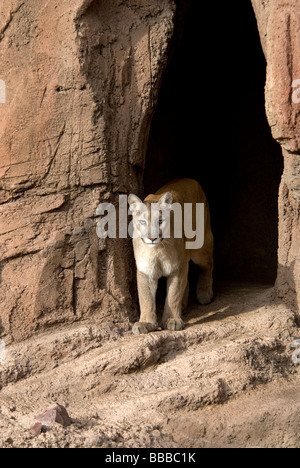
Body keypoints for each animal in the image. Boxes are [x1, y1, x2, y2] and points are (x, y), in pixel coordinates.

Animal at [129, 177, 213, 334]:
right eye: (142, 221)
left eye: (160, 221)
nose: (152, 238)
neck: (157, 249)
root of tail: (189, 179)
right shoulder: (145, 270)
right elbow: (145, 298)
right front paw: (145, 323)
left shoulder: (177, 268)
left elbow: (173, 295)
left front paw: (172, 320)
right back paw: (184, 305)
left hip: (200, 247)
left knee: (208, 264)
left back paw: (205, 294)